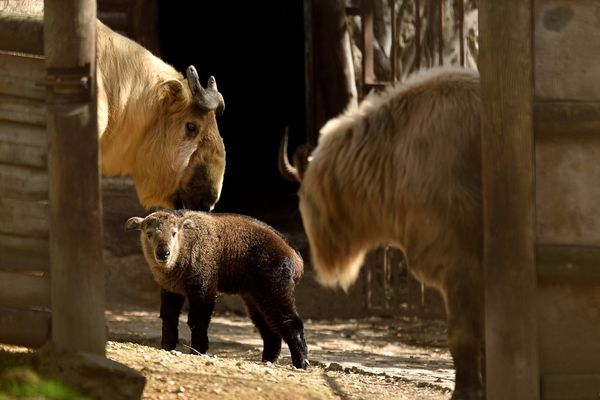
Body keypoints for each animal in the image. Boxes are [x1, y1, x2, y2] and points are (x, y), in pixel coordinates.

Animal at [123, 209, 308, 368]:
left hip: (274, 292)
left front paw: (198, 350)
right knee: (270, 332)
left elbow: (197, 321)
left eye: (174, 233)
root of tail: (295, 257)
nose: (163, 253)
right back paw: (268, 360)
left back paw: (301, 363)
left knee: (292, 324)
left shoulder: (204, 288)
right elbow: (169, 318)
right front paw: (167, 347)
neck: (186, 246)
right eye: (149, 233)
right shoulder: (171, 290)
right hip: (255, 297)